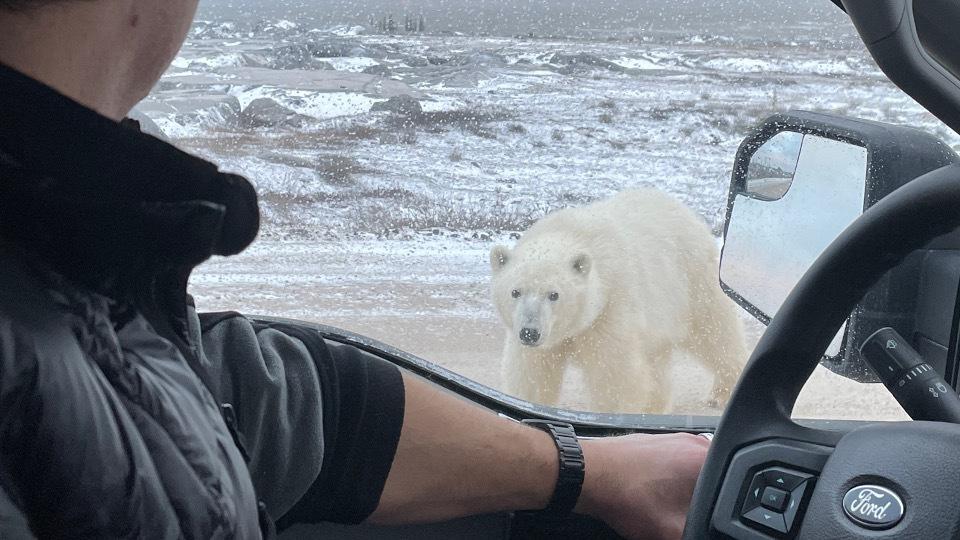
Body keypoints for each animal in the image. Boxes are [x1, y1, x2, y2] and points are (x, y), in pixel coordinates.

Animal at [492, 188, 748, 412]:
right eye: (515, 291)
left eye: (554, 294)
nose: (529, 332)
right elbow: (533, 372)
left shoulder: (610, 307)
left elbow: (614, 375)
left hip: (693, 281)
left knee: (713, 333)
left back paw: (721, 393)